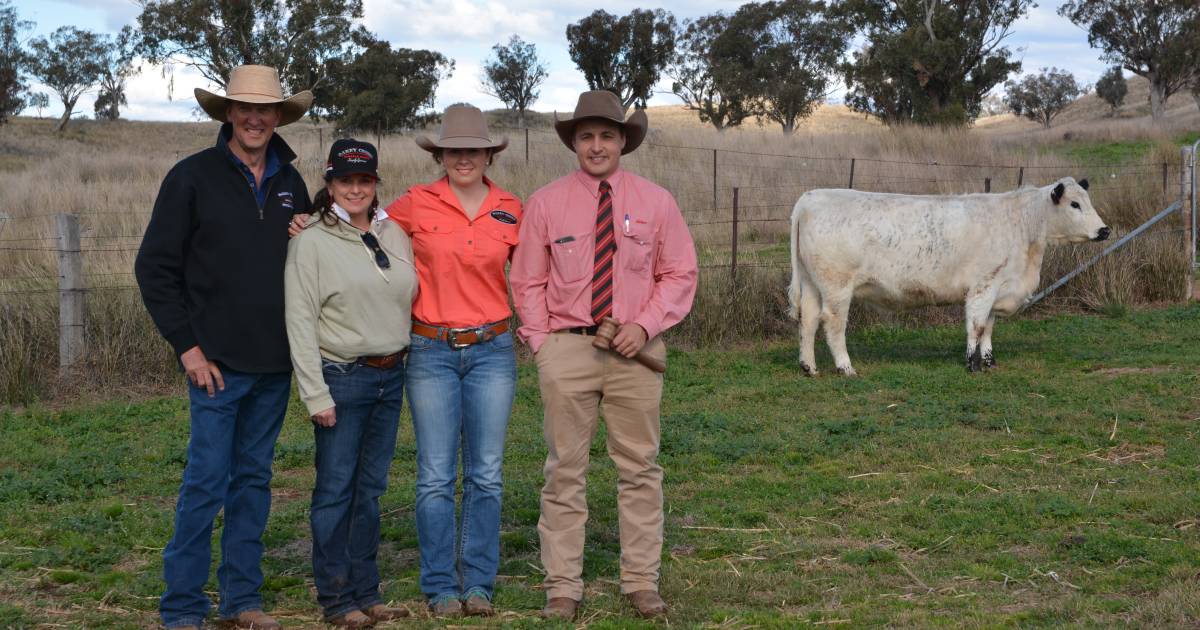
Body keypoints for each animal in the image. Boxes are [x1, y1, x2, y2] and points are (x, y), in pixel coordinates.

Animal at [792, 176, 1108, 374]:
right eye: (1074, 204)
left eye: (1087, 200)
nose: (1104, 230)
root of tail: (810, 197)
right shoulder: (983, 286)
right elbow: (976, 327)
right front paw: (972, 365)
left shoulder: (998, 288)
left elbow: (989, 327)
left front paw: (989, 361)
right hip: (837, 287)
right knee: (833, 324)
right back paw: (845, 367)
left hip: (811, 283)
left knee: (808, 321)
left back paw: (809, 367)